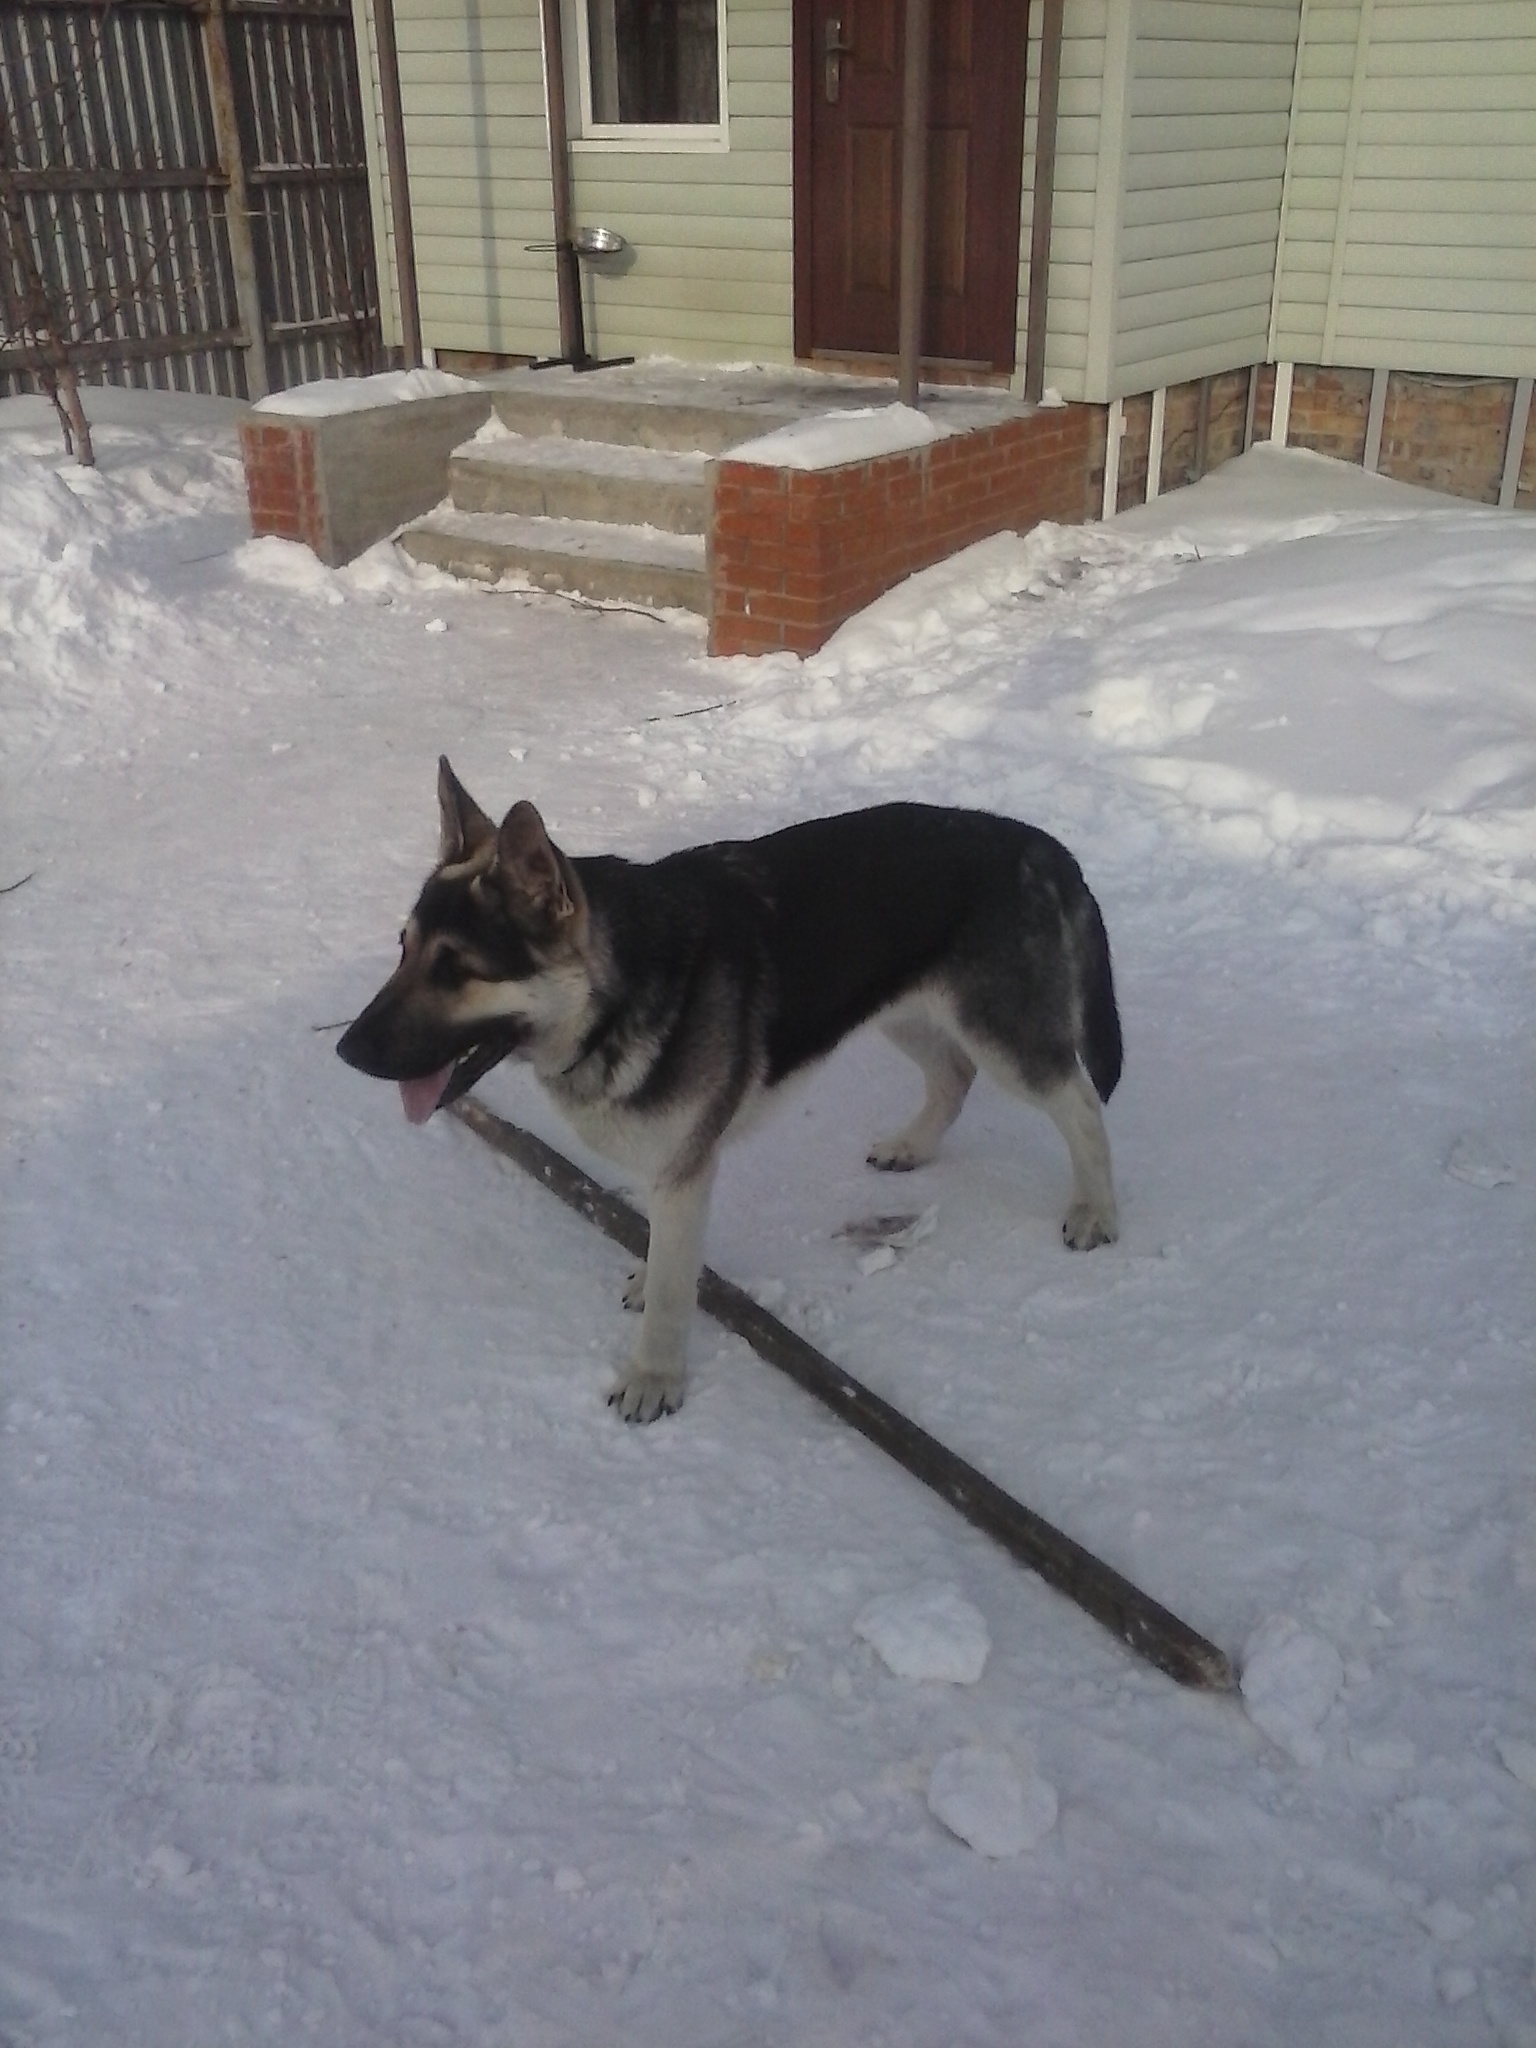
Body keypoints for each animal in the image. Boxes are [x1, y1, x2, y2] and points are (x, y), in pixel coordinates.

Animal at [335, 761, 1122, 1417]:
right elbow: (661, 1253)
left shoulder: (686, 1169)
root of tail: (1035, 843)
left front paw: (654, 1378)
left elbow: (673, 1288)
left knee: (1080, 1103)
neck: (612, 995)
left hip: (1000, 1036)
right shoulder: (666, 1164)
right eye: (404, 950)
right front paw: (648, 1281)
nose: (344, 1050)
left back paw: (1096, 1211)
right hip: (903, 1010)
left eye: (455, 970)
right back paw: (913, 1146)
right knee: (954, 1076)